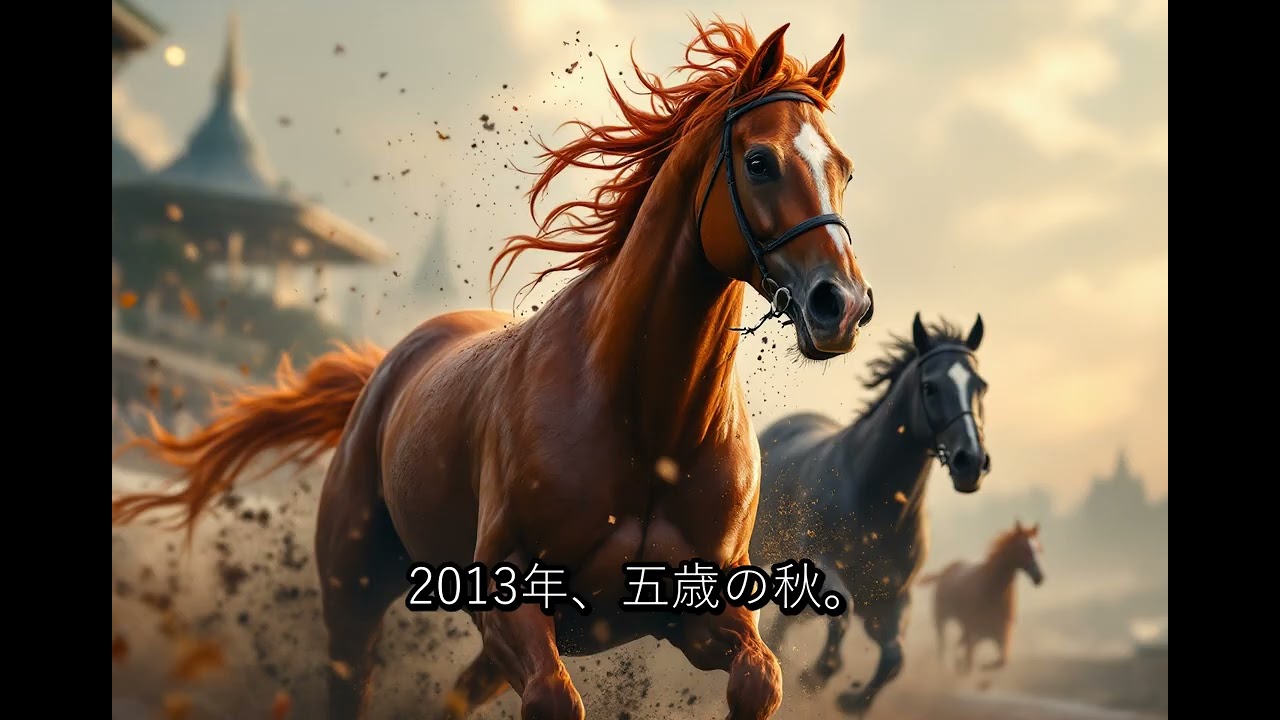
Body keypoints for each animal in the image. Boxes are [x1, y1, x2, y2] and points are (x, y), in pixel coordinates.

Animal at [111, 19, 875, 720]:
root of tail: (390, 365)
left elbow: (759, 680)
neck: (646, 424)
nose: (841, 305)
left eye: (844, 168)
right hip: (353, 585)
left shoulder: (694, 609)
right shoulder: (508, 597)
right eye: (760, 161)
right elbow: (556, 701)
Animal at [750, 313, 990, 716]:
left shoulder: (892, 597)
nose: (970, 462)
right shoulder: (820, 563)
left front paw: (851, 700)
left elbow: (895, 658)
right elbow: (843, 613)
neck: (872, 503)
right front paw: (816, 676)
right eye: (930, 387)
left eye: (980, 386)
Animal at [919, 520, 1044, 675]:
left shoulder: (1002, 634)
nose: (1039, 577)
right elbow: (970, 662)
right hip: (941, 621)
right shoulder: (973, 634)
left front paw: (980, 666)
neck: (991, 593)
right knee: (942, 648)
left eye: (1038, 548)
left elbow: (1002, 661)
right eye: (1023, 548)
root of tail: (944, 572)